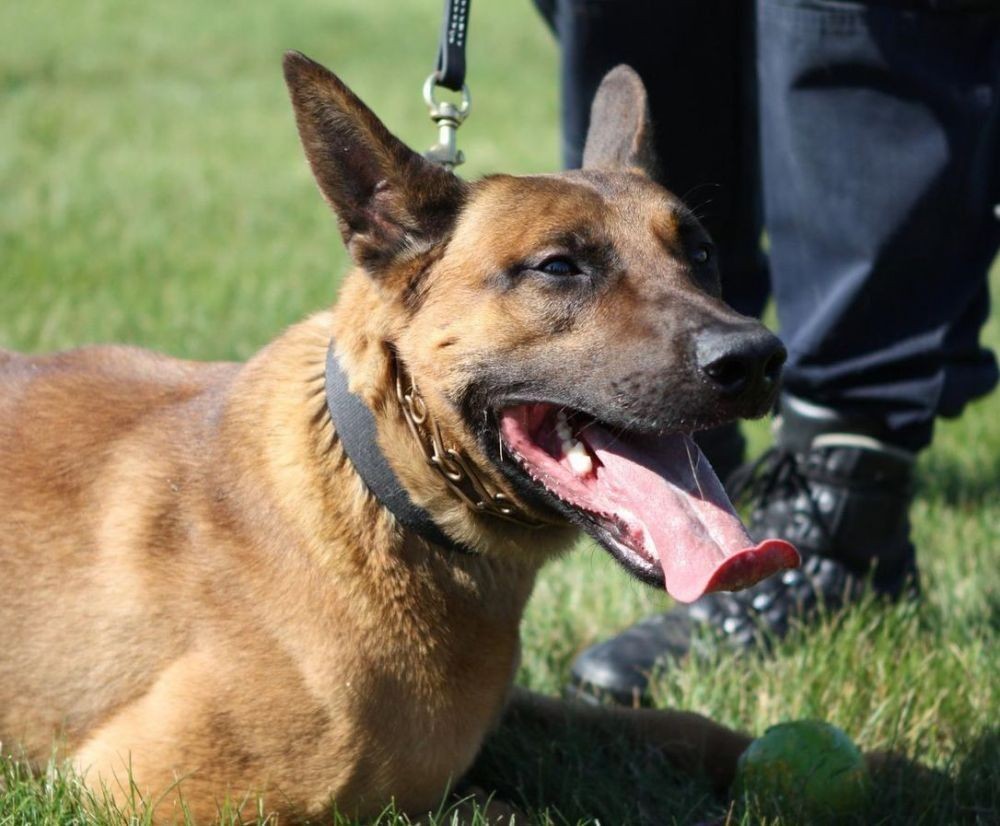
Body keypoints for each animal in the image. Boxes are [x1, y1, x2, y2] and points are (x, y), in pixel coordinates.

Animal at [0, 54, 800, 820]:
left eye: (701, 254)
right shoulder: (154, 789)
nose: (756, 357)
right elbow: (500, 812)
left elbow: (665, 725)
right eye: (558, 267)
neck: (383, 494)